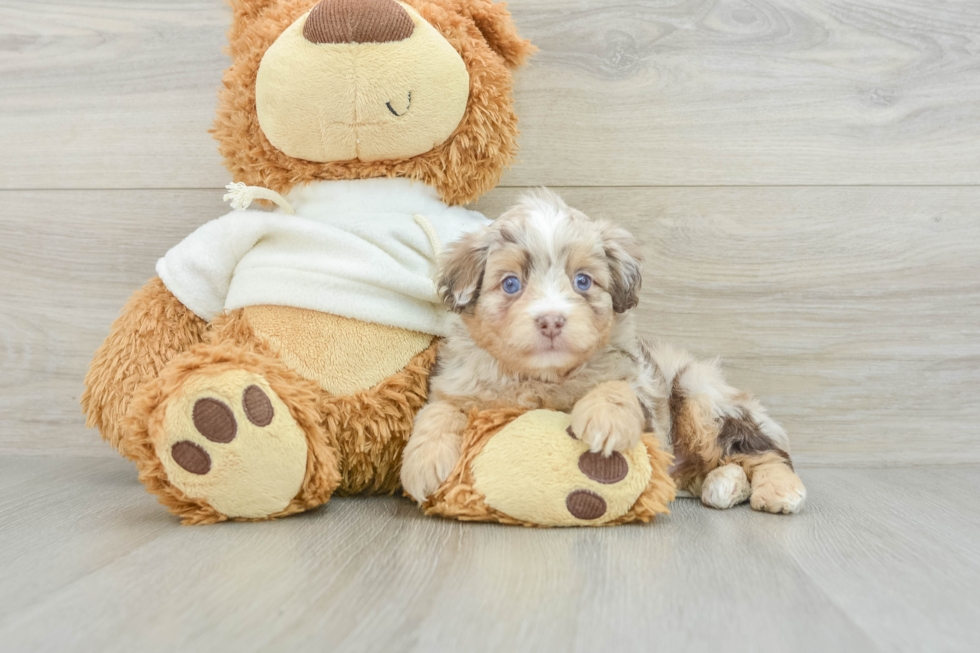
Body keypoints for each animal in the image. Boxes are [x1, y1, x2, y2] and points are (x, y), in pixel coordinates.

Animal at [398, 188, 804, 516]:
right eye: (511, 284)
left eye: (583, 281)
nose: (551, 321)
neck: (543, 378)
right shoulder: (457, 382)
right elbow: (438, 411)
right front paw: (423, 464)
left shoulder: (640, 388)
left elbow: (615, 386)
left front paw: (604, 422)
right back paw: (722, 485)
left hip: (699, 394)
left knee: (764, 452)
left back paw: (778, 490)